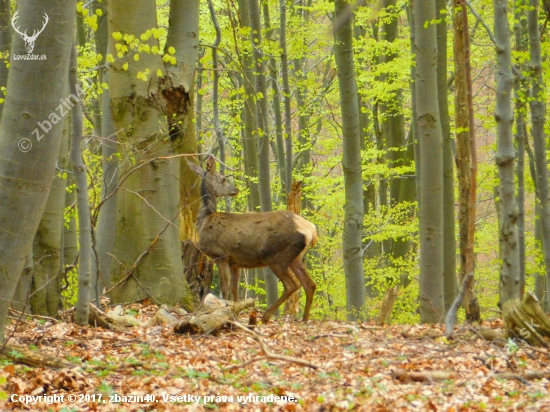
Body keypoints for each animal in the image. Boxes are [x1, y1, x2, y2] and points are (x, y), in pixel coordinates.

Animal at [190, 158, 320, 322]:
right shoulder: (235, 262)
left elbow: (224, 287)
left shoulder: (221, 255)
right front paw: (235, 310)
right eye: (224, 179)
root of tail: (311, 229)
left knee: (292, 285)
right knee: (310, 284)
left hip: (276, 256)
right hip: (296, 258)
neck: (204, 220)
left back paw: (266, 316)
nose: (236, 189)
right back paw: (304, 319)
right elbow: (234, 289)